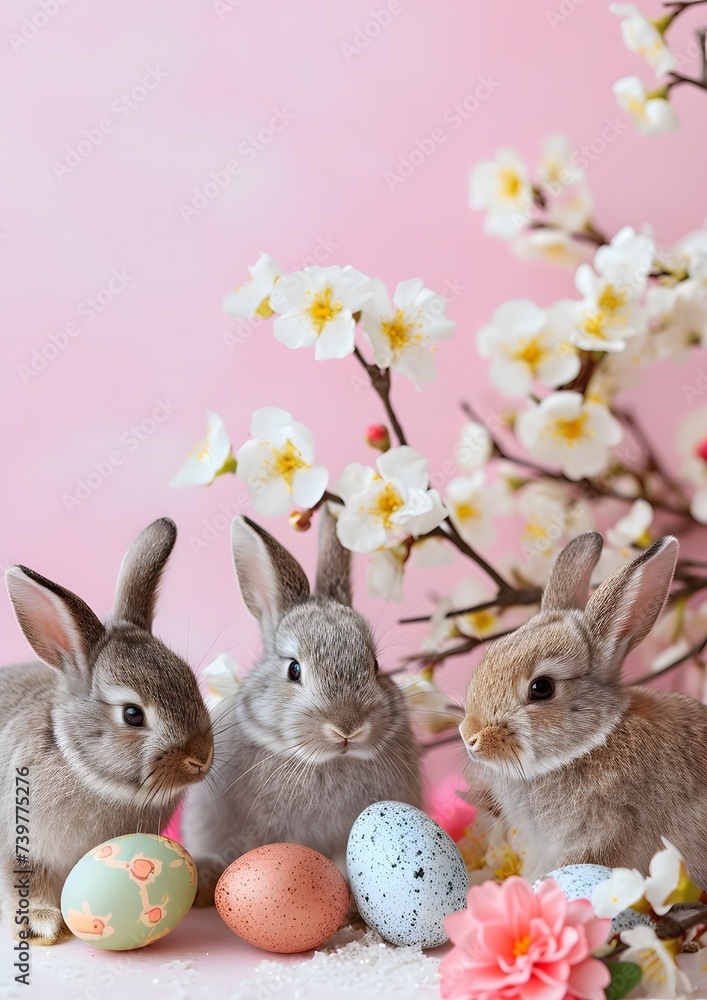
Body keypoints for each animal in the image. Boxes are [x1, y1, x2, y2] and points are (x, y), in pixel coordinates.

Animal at [0, 518, 213, 945]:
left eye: (189, 680)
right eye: (132, 714)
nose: (200, 758)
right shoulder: (17, 846)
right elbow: (22, 883)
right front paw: (41, 923)